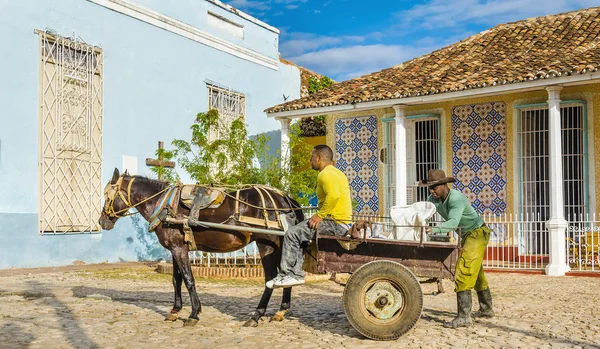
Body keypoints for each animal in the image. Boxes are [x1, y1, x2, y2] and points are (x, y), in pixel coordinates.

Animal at [100, 169, 304, 326]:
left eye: (108, 195)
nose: (102, 221)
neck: (164, 204)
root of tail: (284, 197)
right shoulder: (175, 249)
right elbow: (176, 280)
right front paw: (175, 310)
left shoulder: (179, 249)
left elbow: (189, 279)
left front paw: (193, 314)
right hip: (279, 244)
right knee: (286, 274)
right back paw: (281, 311)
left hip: (266, 244)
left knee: (271, 277)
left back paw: (256, 315)